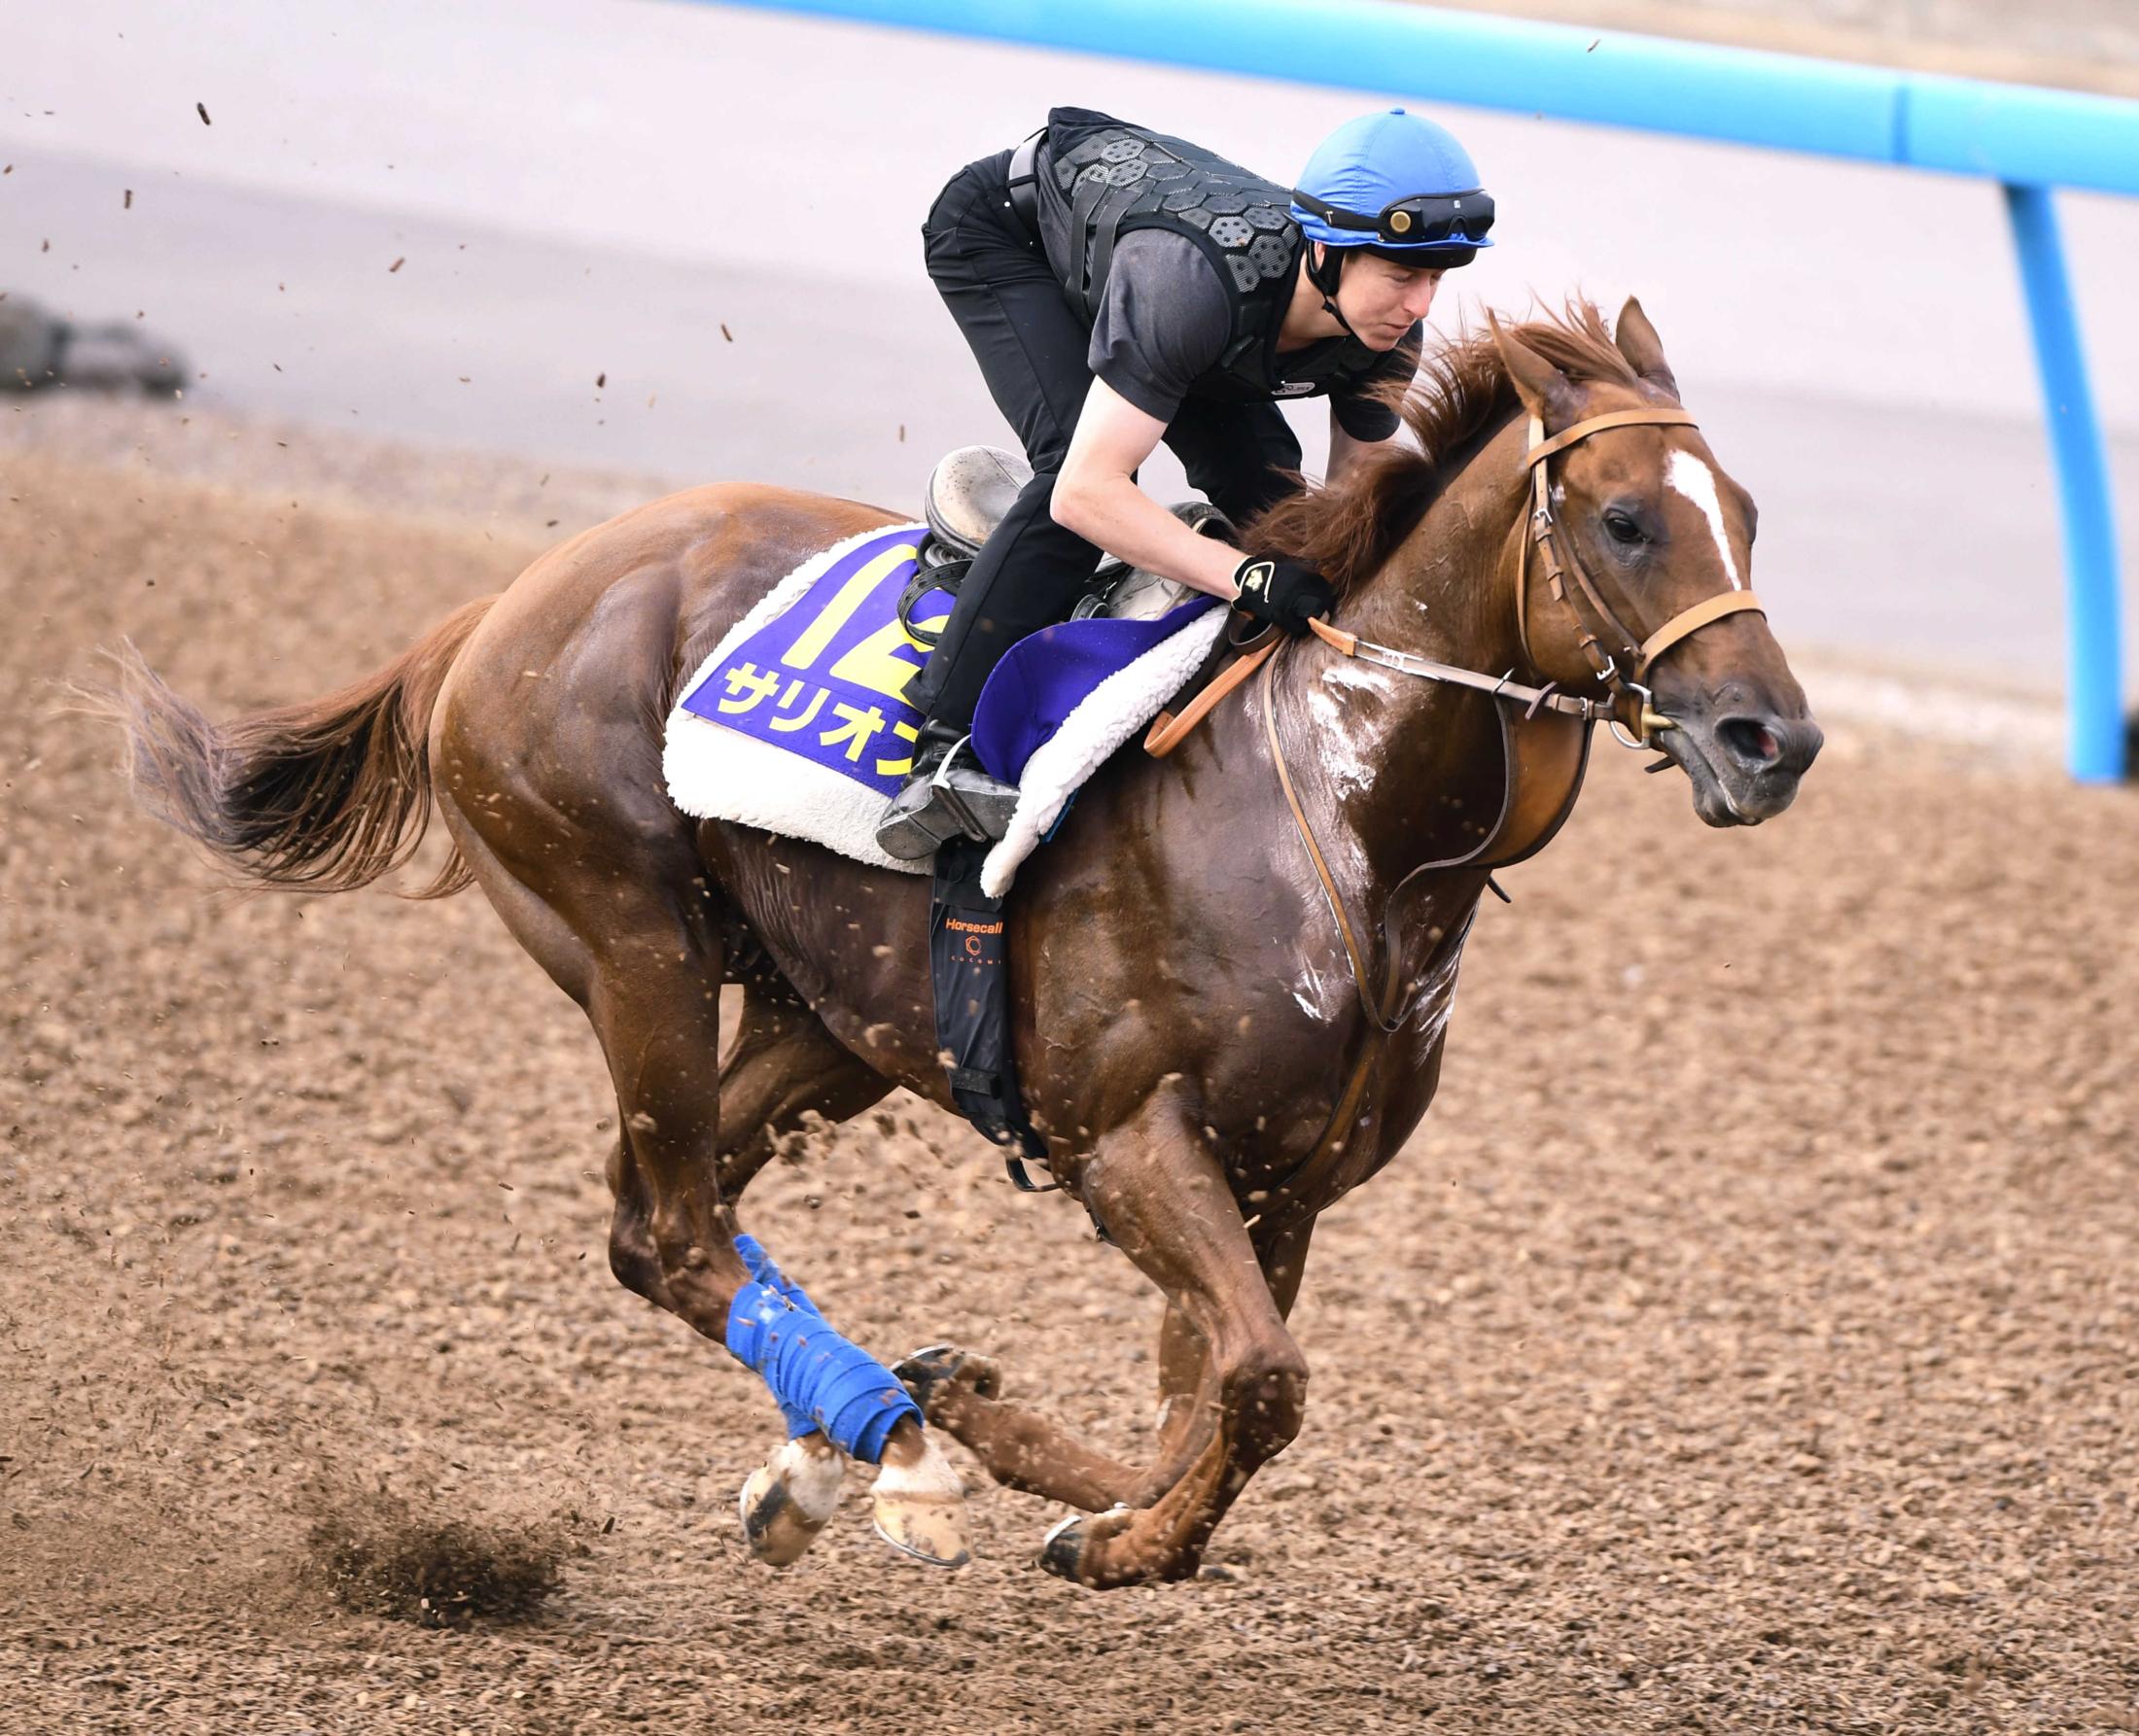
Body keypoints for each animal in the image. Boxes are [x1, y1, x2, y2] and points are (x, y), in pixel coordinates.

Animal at [88, 295, 1822, 1590]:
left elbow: (1215, 1388)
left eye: (1744, 516)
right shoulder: (1127, 1137)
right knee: (674, 1224)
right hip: (632, 935)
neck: (1348, 830)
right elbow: (1256, 1382)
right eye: (1625, 519)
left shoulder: (1285, 1182)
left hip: (828, 1021)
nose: (1774, 739)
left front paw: (1073, 1489)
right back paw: (897, 1446)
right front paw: (1091, 1515)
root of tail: (516, 596)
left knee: (666, 1215)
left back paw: (840, 1449)